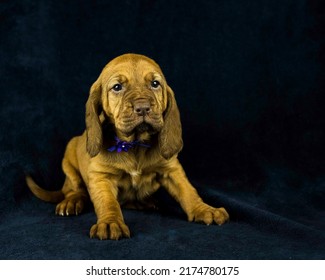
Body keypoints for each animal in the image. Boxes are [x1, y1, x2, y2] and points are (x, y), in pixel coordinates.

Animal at [26, 53, 229, 240]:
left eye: (155, 84)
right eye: (117, 87)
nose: (143, 107)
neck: (134, 144)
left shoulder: (171, 170)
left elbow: (188, 191)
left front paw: (204, 209)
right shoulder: (101, 177)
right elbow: (108, 202)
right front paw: (110, 223)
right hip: (69, 157)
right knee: (74, 190)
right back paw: (72, 202)